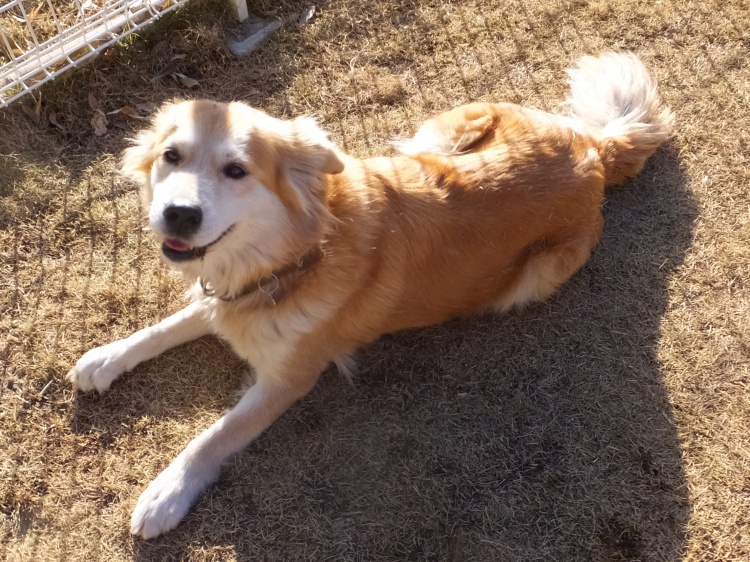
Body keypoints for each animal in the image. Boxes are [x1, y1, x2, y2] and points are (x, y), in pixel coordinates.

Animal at [67, 52, 673, 538]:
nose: (178, 215)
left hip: (533, 275)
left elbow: (215, 435)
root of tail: (593, 148)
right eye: (171, 156)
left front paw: (166, 493)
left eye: (236, 170)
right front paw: (105, 358)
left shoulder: (288, 379)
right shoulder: (230, 294)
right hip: (450, 129)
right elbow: (167, 325)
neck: (298, 255)